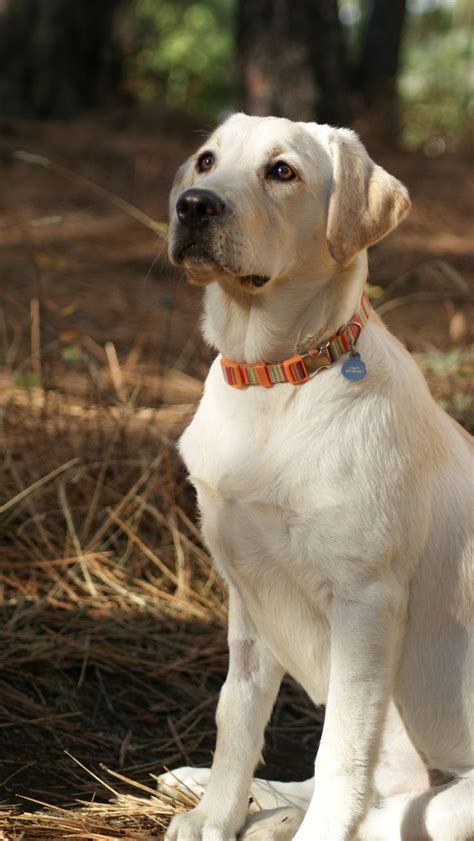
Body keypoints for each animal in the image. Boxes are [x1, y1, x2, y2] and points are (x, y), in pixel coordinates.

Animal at [161, 113, 472, 840]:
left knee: (395, 806)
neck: (276, 377)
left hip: (454, 796)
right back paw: (246, 799)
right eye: (206, 160)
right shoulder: (247, 585)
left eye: (283, 171)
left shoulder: (367, 602)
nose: (194, 205)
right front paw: (215, 814)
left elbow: (341, 753)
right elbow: (238, 710)